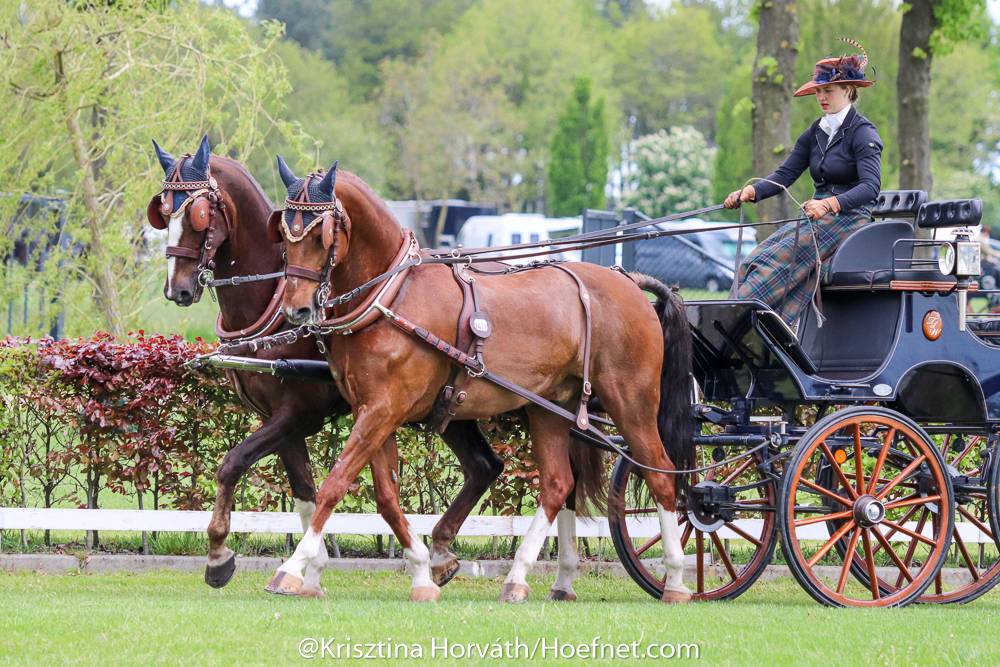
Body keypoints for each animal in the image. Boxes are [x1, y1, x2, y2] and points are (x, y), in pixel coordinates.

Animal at [145, 136, 504, 593]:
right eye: (161, 211)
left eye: (199, 214)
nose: (178, 289)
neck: (272, 303)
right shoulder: (279, 418)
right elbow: (304, 491)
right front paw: (311, 569)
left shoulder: (299, 413)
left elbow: (232, 464)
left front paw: (220, 556)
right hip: (451, 404)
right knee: (484, 467)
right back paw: (440, 557)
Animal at [266, 156, 694, 603]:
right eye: (285, 233)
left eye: (321, 236)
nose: (295, 309)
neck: (393, 295)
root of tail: (629, 280)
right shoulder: (372, 410)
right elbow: (385, 496)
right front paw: (422, 571)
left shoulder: (383, 410)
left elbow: (335, 483)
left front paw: (293, 568)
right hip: (552, 407)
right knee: (558, 484)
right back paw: (521, 577)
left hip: (631, 401)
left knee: (660, 474)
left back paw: (675, 580)